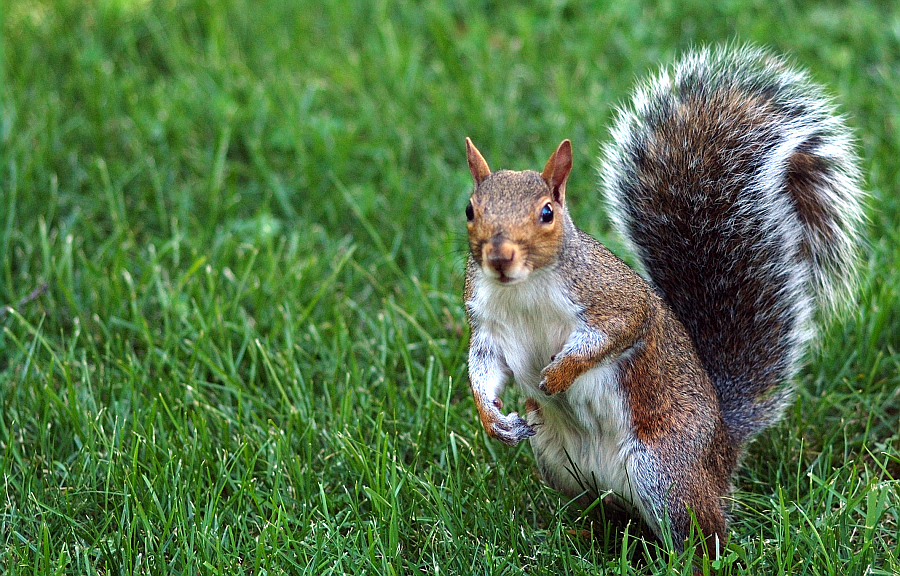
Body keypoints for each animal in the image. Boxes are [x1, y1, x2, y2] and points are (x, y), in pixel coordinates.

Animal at [464, 46, 864, 560]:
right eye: (470, 210)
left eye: (547, 213)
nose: (499, 258)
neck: (523, 288)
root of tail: (721, 450)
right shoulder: (487, 323)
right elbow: (484, 368)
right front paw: (493, 419)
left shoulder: (614, 297)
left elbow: (620, 329)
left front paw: (558, 374)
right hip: (559, 463)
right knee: (607, 512)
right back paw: (584, 535)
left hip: (664, 472)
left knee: (706, 533)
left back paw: (688, 558)